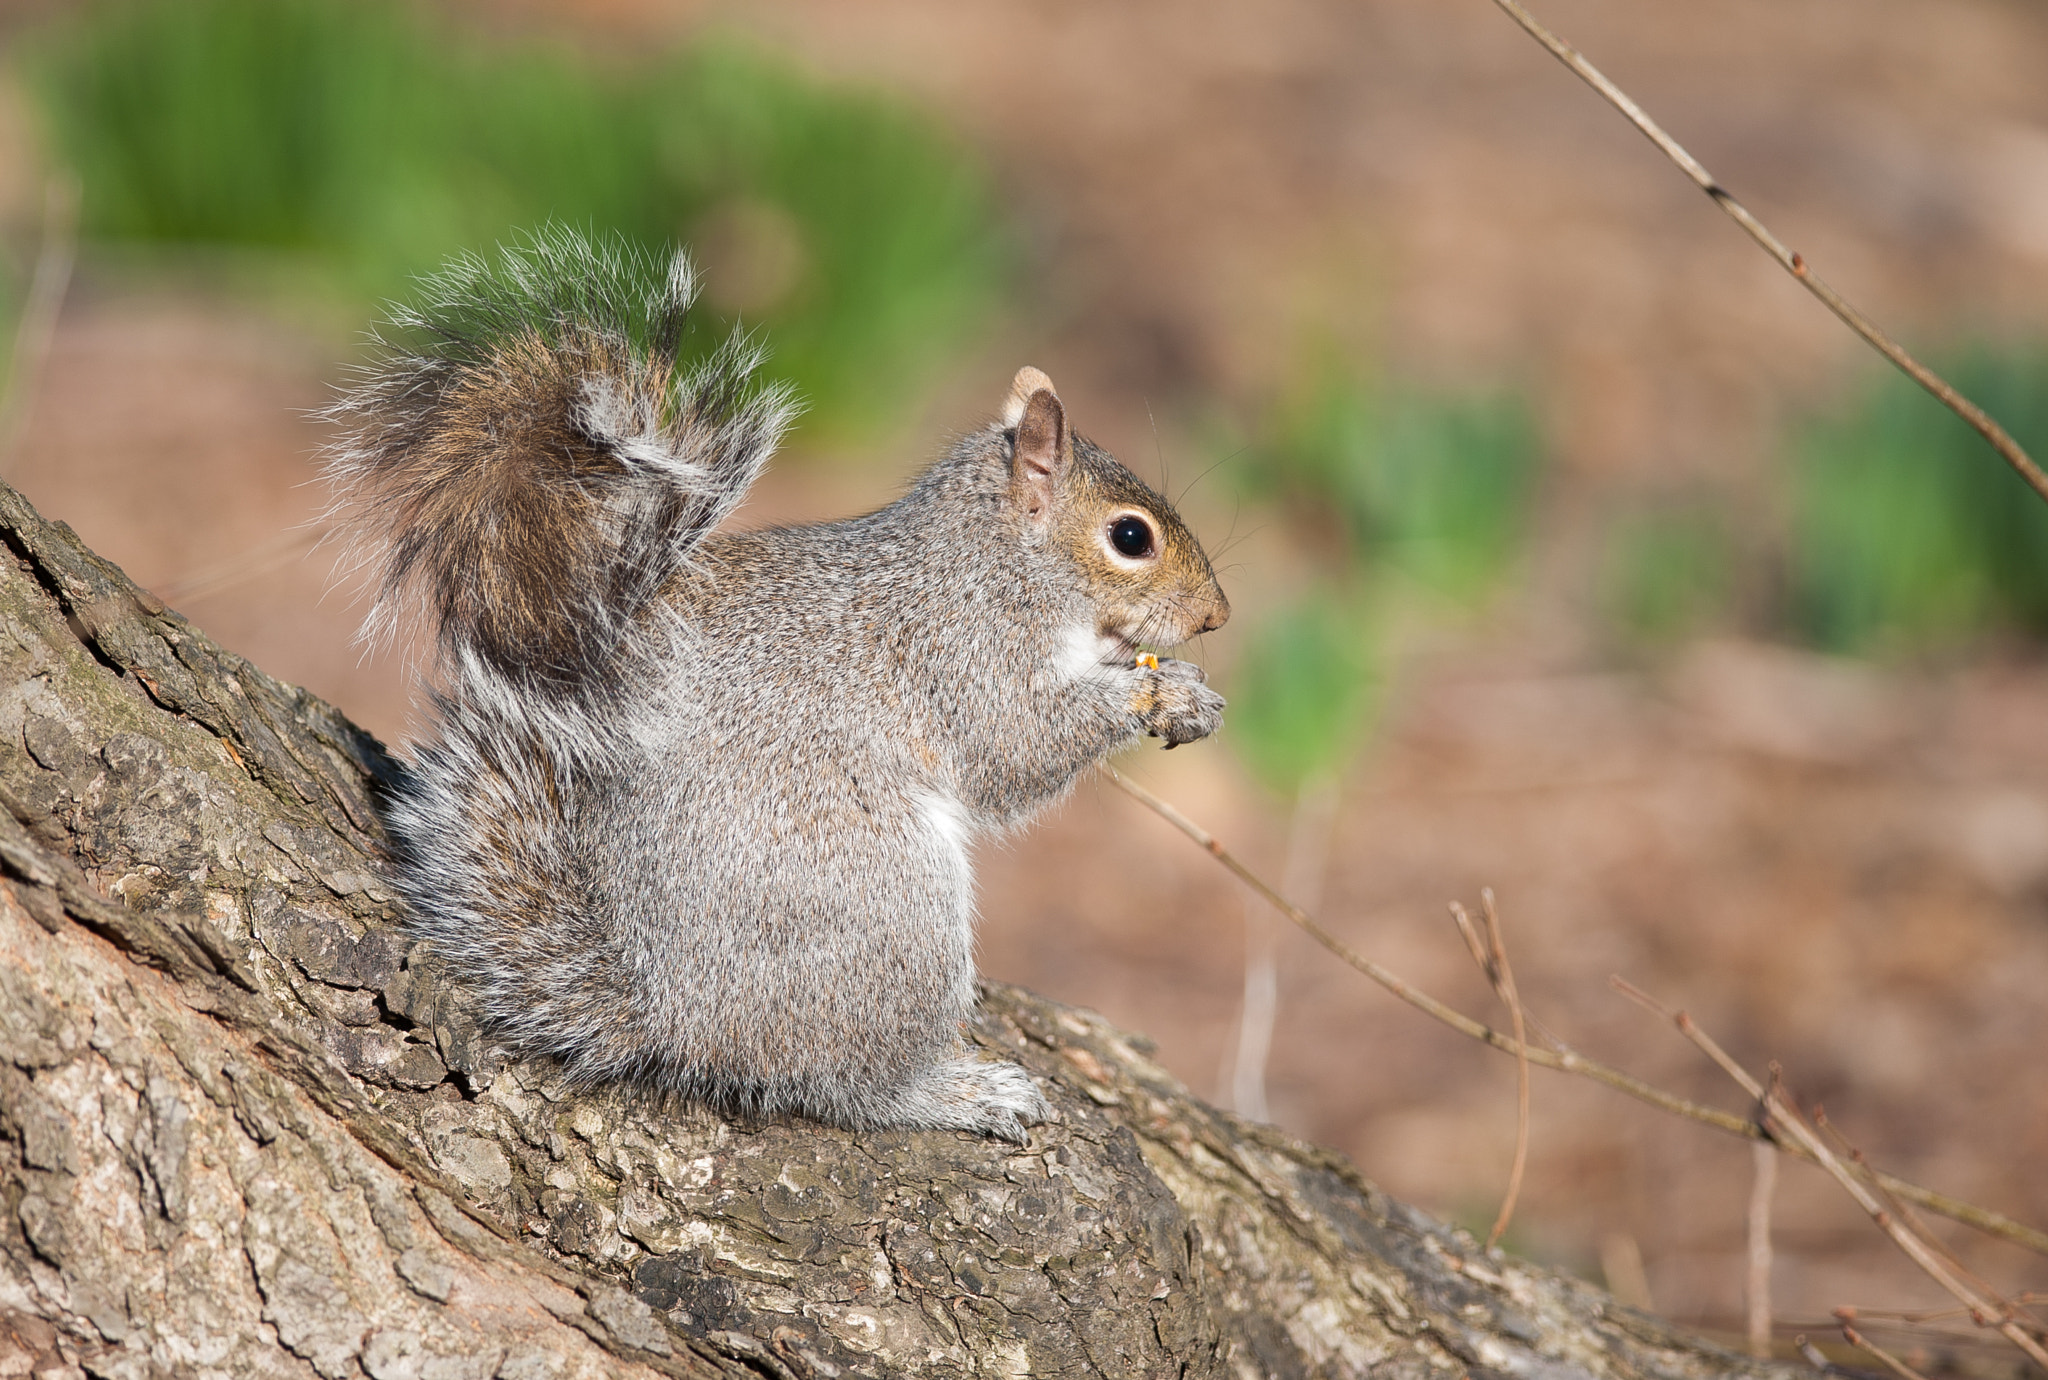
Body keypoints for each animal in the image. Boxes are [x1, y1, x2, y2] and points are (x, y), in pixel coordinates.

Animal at [329, 231, 1228, 1138]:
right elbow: (1016, 750)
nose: (1216, 616)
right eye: (1130, 537)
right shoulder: (962, 652)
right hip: (886, 906)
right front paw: (1158, 696)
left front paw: (1187, 686)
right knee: (854, 1084)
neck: (998, 563)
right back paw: (954, 1092)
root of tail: (672, 1014)